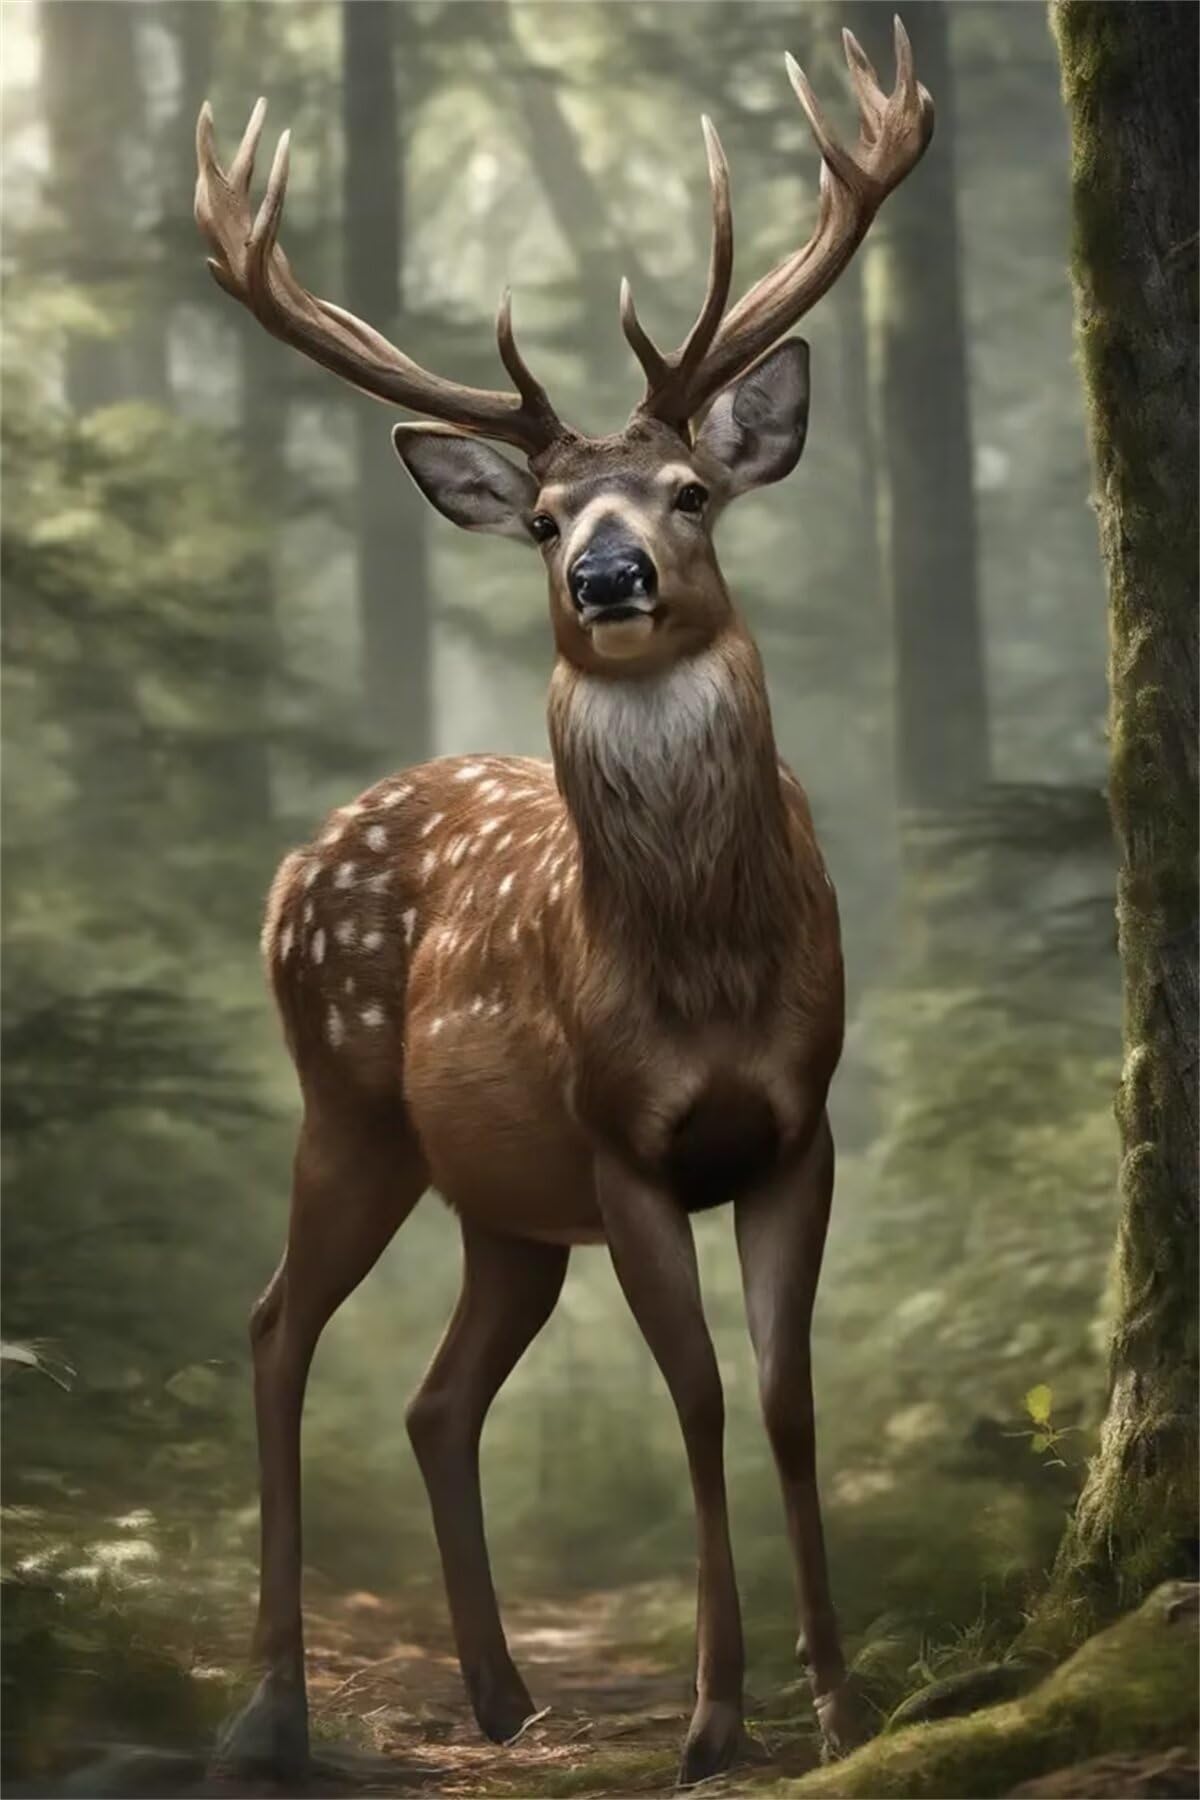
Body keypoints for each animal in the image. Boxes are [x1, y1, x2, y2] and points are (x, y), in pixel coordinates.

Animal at [196, 18, 932, 1787]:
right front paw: (714, 1717)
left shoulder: (798, 1126)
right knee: (274, 1325)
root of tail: (294, 866)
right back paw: (272, 1704)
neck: (708, 974)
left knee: (438, 1395)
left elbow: (789, 1396)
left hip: (504, 1205)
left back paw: (504, 1693)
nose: (607, 579)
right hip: (354, 1108)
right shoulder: (622, 1141)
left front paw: (837, 1697)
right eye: (543, 517)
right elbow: (699, 1400)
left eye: (690, 491)